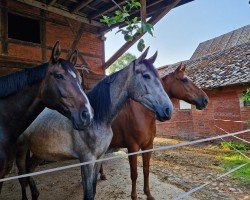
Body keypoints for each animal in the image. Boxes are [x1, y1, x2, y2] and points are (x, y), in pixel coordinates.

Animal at [15, 48, 172, 200]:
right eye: (146, 76)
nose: (168, 109)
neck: (97, 119)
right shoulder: (87, 161)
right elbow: (89, 194)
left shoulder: (98, 158)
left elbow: (94, 190)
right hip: (21, 150)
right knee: (22, 177)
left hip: (39, 152)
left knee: (29, 170)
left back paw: (35, 194)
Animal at [99, 63, 209, 200]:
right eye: (184, 80)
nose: (205, 100)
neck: (142, 113)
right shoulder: (133, 148)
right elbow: (134, 174)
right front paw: (134, 196)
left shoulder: (148, 146)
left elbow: (146, 170)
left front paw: (148, 194)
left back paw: (102, 175)